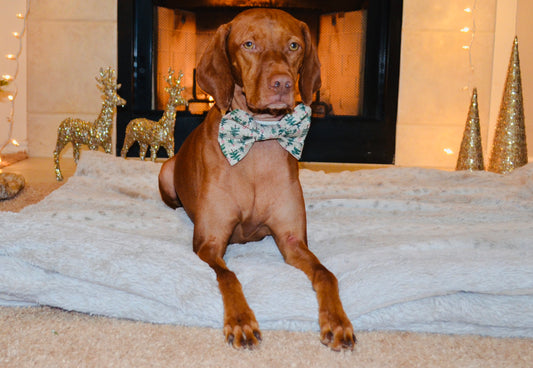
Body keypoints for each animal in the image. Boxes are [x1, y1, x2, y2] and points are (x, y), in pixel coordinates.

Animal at [158, 7, 354, 350]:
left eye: (294, 45)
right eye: (249, 44)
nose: (283, 83)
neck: (259, 140)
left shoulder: (292, 241)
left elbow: (326, 273)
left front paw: (337, 320)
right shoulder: (209, 243)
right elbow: (229, 276)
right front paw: (240, 321)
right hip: (166, 172)